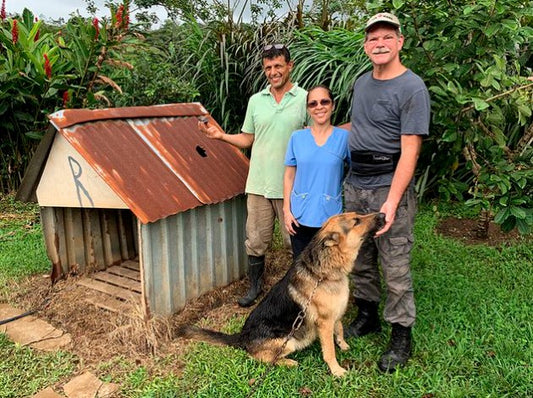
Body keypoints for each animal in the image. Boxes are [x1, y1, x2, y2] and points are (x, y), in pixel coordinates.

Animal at [181, 211, 384, 376]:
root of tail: (242, 336)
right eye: (356, 221)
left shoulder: (335, 315)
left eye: (358, 216)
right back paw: (288, 362)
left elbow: (339, 330)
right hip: (289, 341)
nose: (382, 214)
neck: (323, 273)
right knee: (259, 357)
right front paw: (336, 370)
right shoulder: (324, 323)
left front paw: (343, 345)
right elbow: (329, 351)